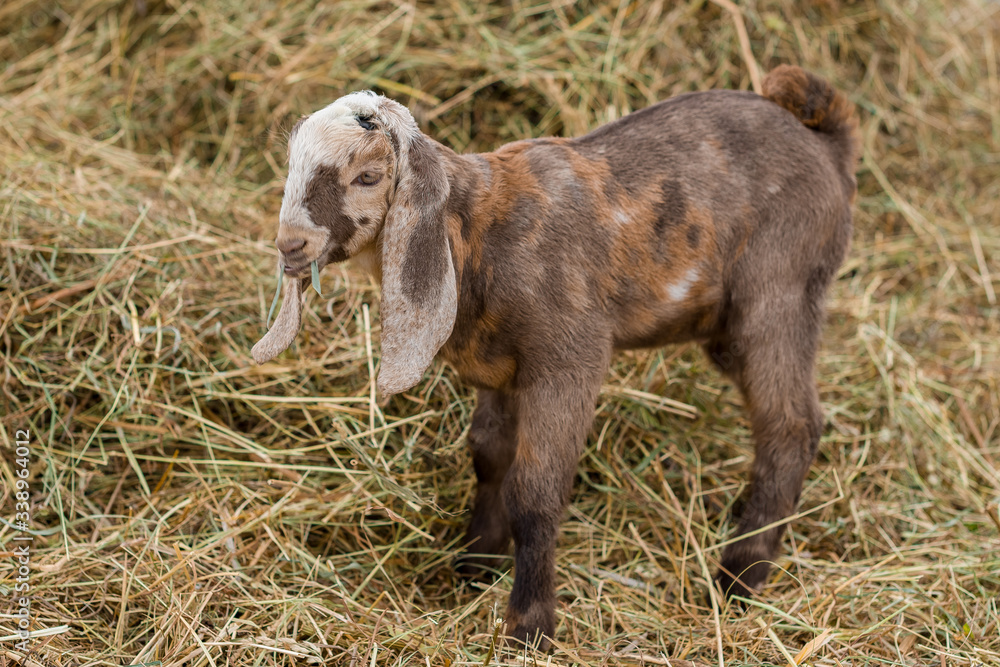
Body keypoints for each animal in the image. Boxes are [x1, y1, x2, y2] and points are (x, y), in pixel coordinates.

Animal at [252, 65, 859, 648]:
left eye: (368, 177)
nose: (290, 245)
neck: (477, 230)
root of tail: (824, 136)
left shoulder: (569, 357)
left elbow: (536, 493)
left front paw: (530, 627)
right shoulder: (501, 368)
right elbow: (489, 456)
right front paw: (476, 561)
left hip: (778, 291)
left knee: (790, 425)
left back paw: (741, 575)